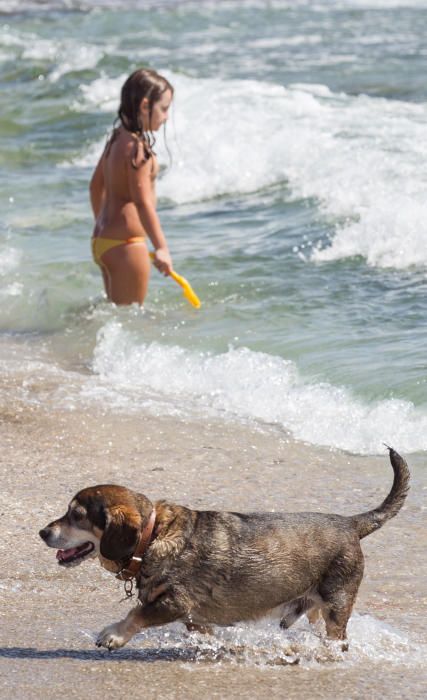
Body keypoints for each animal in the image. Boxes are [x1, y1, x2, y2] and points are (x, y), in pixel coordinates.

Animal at [40, 448, 412, 652]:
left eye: (77, 515)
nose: (43, 532)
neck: (153, 535)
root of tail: (350, 523)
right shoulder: (195, 619)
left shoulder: (176, 603)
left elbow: (136, 614)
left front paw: (114, 635)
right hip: (316, 609)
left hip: (336, 604)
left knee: (338, 639)